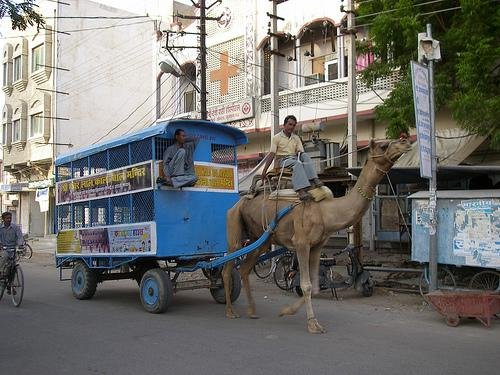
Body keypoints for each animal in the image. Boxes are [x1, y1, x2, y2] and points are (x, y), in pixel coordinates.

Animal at [222, 138, 410, 334]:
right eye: (383, 145)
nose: (405, 141)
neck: (325, 212)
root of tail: (241, 200)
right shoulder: (301, 243)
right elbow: (306, 285)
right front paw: (312, 324)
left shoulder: (317, 245)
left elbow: (315, 285)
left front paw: (286, 311)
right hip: (234, 227)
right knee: (227, 268)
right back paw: (230, 311)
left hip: (260, 239)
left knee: (244, 269)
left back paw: (252, 311)